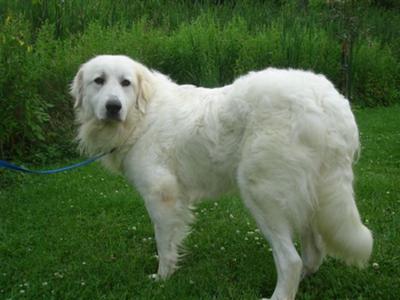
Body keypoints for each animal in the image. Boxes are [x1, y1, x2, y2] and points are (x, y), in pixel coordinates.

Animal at [71, 55, 372, 298]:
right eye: (99, 81)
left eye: (126, 83)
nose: (113, 107)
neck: (142, 115)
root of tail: (328, 100)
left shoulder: (161, 195)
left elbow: (164, 244)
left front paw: (162, 279)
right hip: (307, 195)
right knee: (313, 250)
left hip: (262, 194)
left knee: (291, 260)